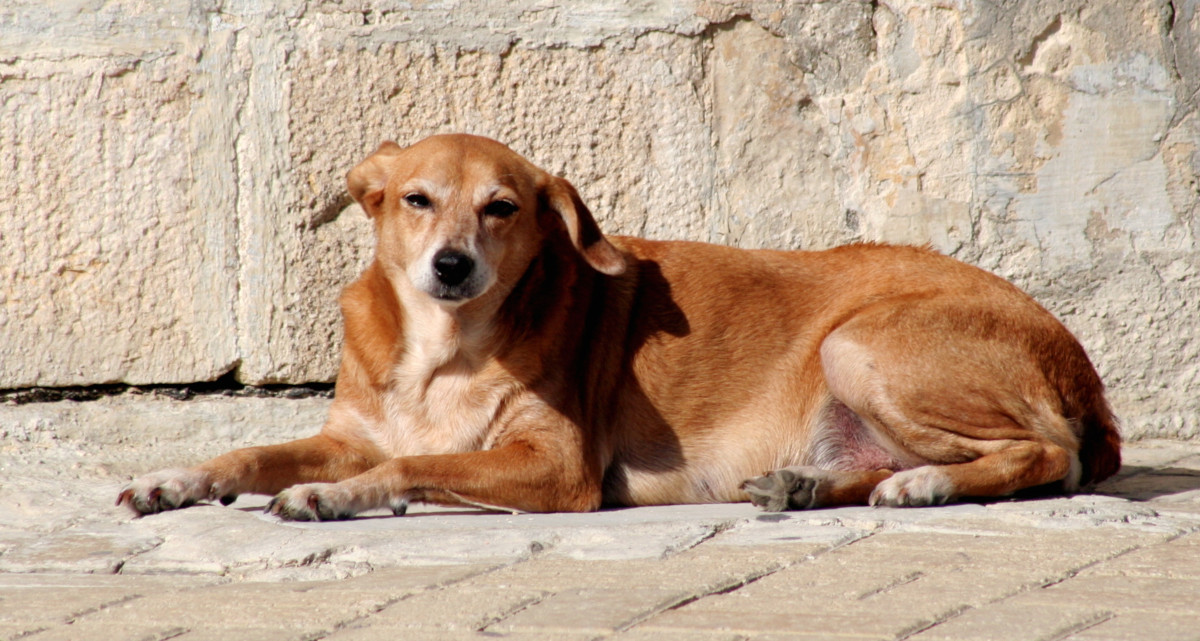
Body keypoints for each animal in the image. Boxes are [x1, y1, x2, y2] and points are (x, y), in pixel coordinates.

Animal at [117, 133, 1118, 520]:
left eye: (503, 207)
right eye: (416, 200)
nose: (452, 265)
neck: (440, 349)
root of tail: (1082, 364)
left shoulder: (554, 466)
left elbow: (407, 466)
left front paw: (336, 497)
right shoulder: (350, 431)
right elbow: (247, 452)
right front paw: (175, 479)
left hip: (857, 342)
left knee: (1049, 453)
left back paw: (927, 485)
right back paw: (804, 484)